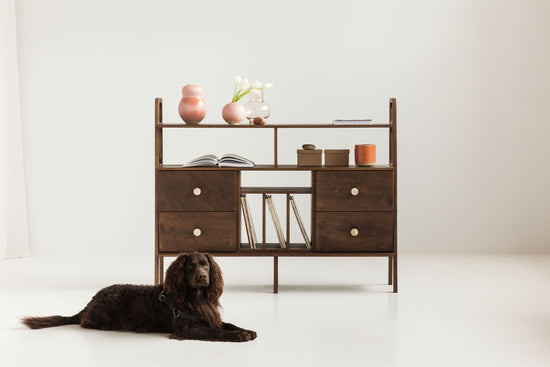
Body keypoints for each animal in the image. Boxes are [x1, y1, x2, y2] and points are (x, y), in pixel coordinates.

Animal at [19, 253, 256, 342]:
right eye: (190, 266)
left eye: (206, 265)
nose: (203, 277)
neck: (194, 297)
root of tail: (89, 302)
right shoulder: (187, 328)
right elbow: (215, 331)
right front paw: (239, 336)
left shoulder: (207, 317)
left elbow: (228, 324)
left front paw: (246, 331)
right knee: (88, 323)